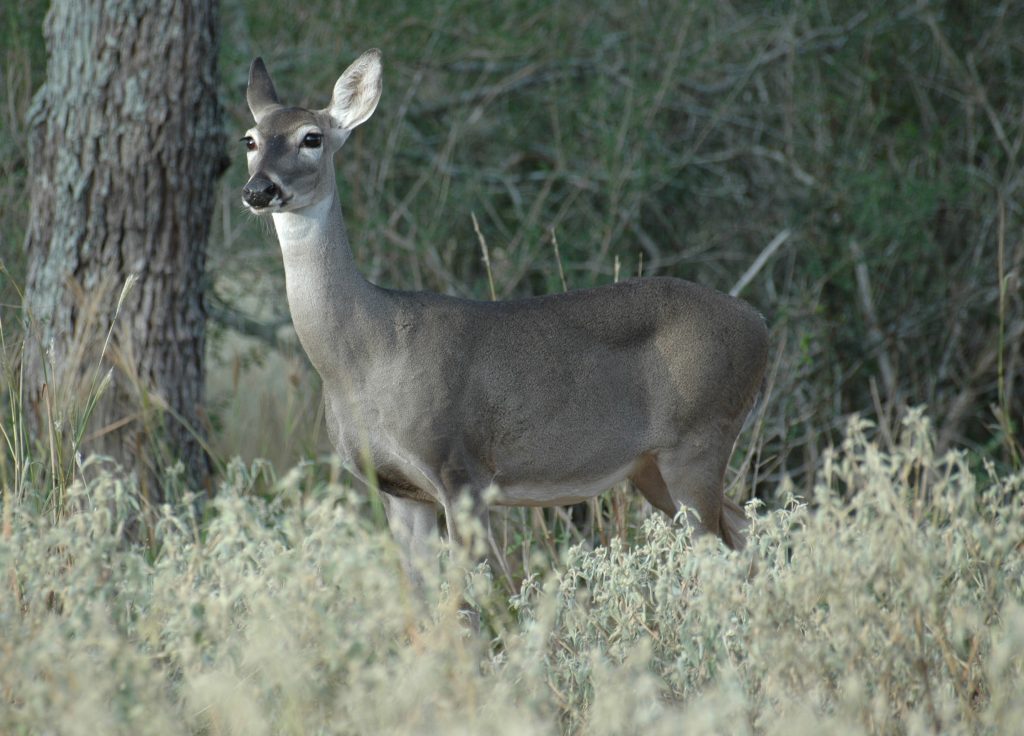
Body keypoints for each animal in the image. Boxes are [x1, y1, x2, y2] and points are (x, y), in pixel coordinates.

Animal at [239, 48, 770, 593]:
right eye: (250, 139)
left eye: (311, 137)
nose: (259, 189)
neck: (362, 355)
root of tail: (761, 324)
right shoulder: (399, 490)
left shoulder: (460, 470)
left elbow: (471, 596)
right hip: (652, 468)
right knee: (748, 529)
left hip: (698, 439)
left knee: (726, 550)